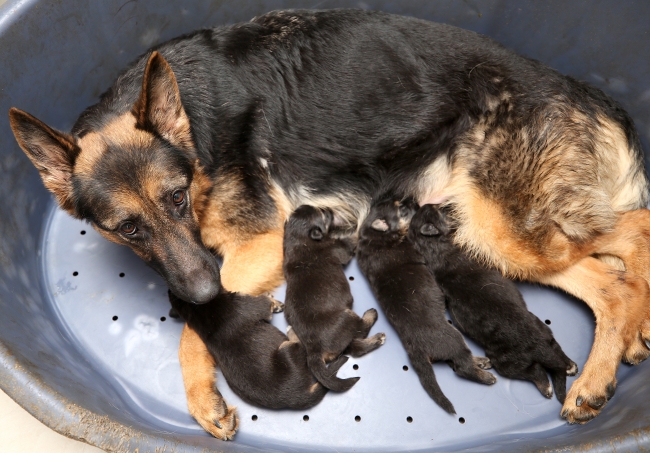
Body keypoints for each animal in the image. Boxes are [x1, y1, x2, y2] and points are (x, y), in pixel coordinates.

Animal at [166, 290, 344, 410]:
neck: (198, 314)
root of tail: (298, 396)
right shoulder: (255, 305)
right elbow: (266, 302)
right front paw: (274, 301)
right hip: (286, 350)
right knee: (296, 343)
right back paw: (292, 331)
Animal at [280, 203, 382, 390]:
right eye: (323, 214)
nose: (328, 208)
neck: (299, 239)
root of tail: (314, 350)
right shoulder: (341, 249)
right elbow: (353, 236)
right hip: (348, 317)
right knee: (361, 332)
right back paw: (373, 323)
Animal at [352, 198, 494, 414]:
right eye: (401, 208)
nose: (414, 201)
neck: (374, 237)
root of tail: (417, 350)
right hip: (454, 338)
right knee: (462, 366)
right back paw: (486, 376)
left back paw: (482, 362)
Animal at [408, 203, 576, 400]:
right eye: (439, 209)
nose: (449, 204)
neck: (432, 245)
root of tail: (537, 343)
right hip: (507, 362)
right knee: (537, 371)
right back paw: (549, 385)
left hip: (542, 331)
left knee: (553, 355)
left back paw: (569, 366)